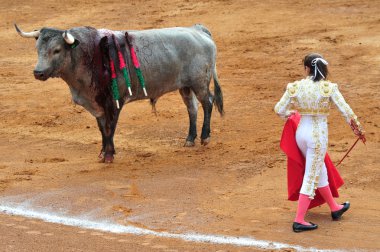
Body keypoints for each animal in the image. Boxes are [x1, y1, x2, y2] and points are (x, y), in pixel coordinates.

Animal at [14, 24, 224, 163]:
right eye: (37, 49)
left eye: (57, 50)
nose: (38, 72)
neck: (88, 54)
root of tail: (198, 30)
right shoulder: (96, 103)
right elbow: (102, 128)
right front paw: (103, 152)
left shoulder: (114, 102)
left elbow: (110, 127)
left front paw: (108, 154)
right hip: (185, 86)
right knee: (192, 109)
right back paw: (190, 139)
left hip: (199, 83)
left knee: (208, 103)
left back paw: (204, 137)